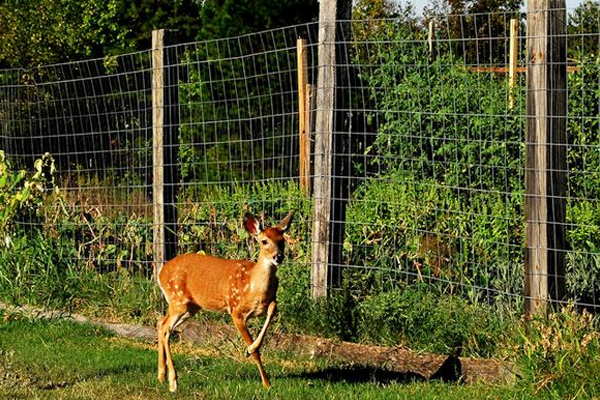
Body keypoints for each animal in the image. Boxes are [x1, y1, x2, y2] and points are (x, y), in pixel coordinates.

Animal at [155, 211, 296, 392]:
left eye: (282, 240)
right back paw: (173, 382)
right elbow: (255, 351)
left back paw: (161, 376)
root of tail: (160, 272)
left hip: (190, 307)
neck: (254, 287)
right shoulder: (236, 310)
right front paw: (266, 382)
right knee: (166, 327)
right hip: (177, 299)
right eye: (264, 241)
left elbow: (273, 309)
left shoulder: (270, 301)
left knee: (161, 323)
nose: (278, 257)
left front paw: (251, 349)